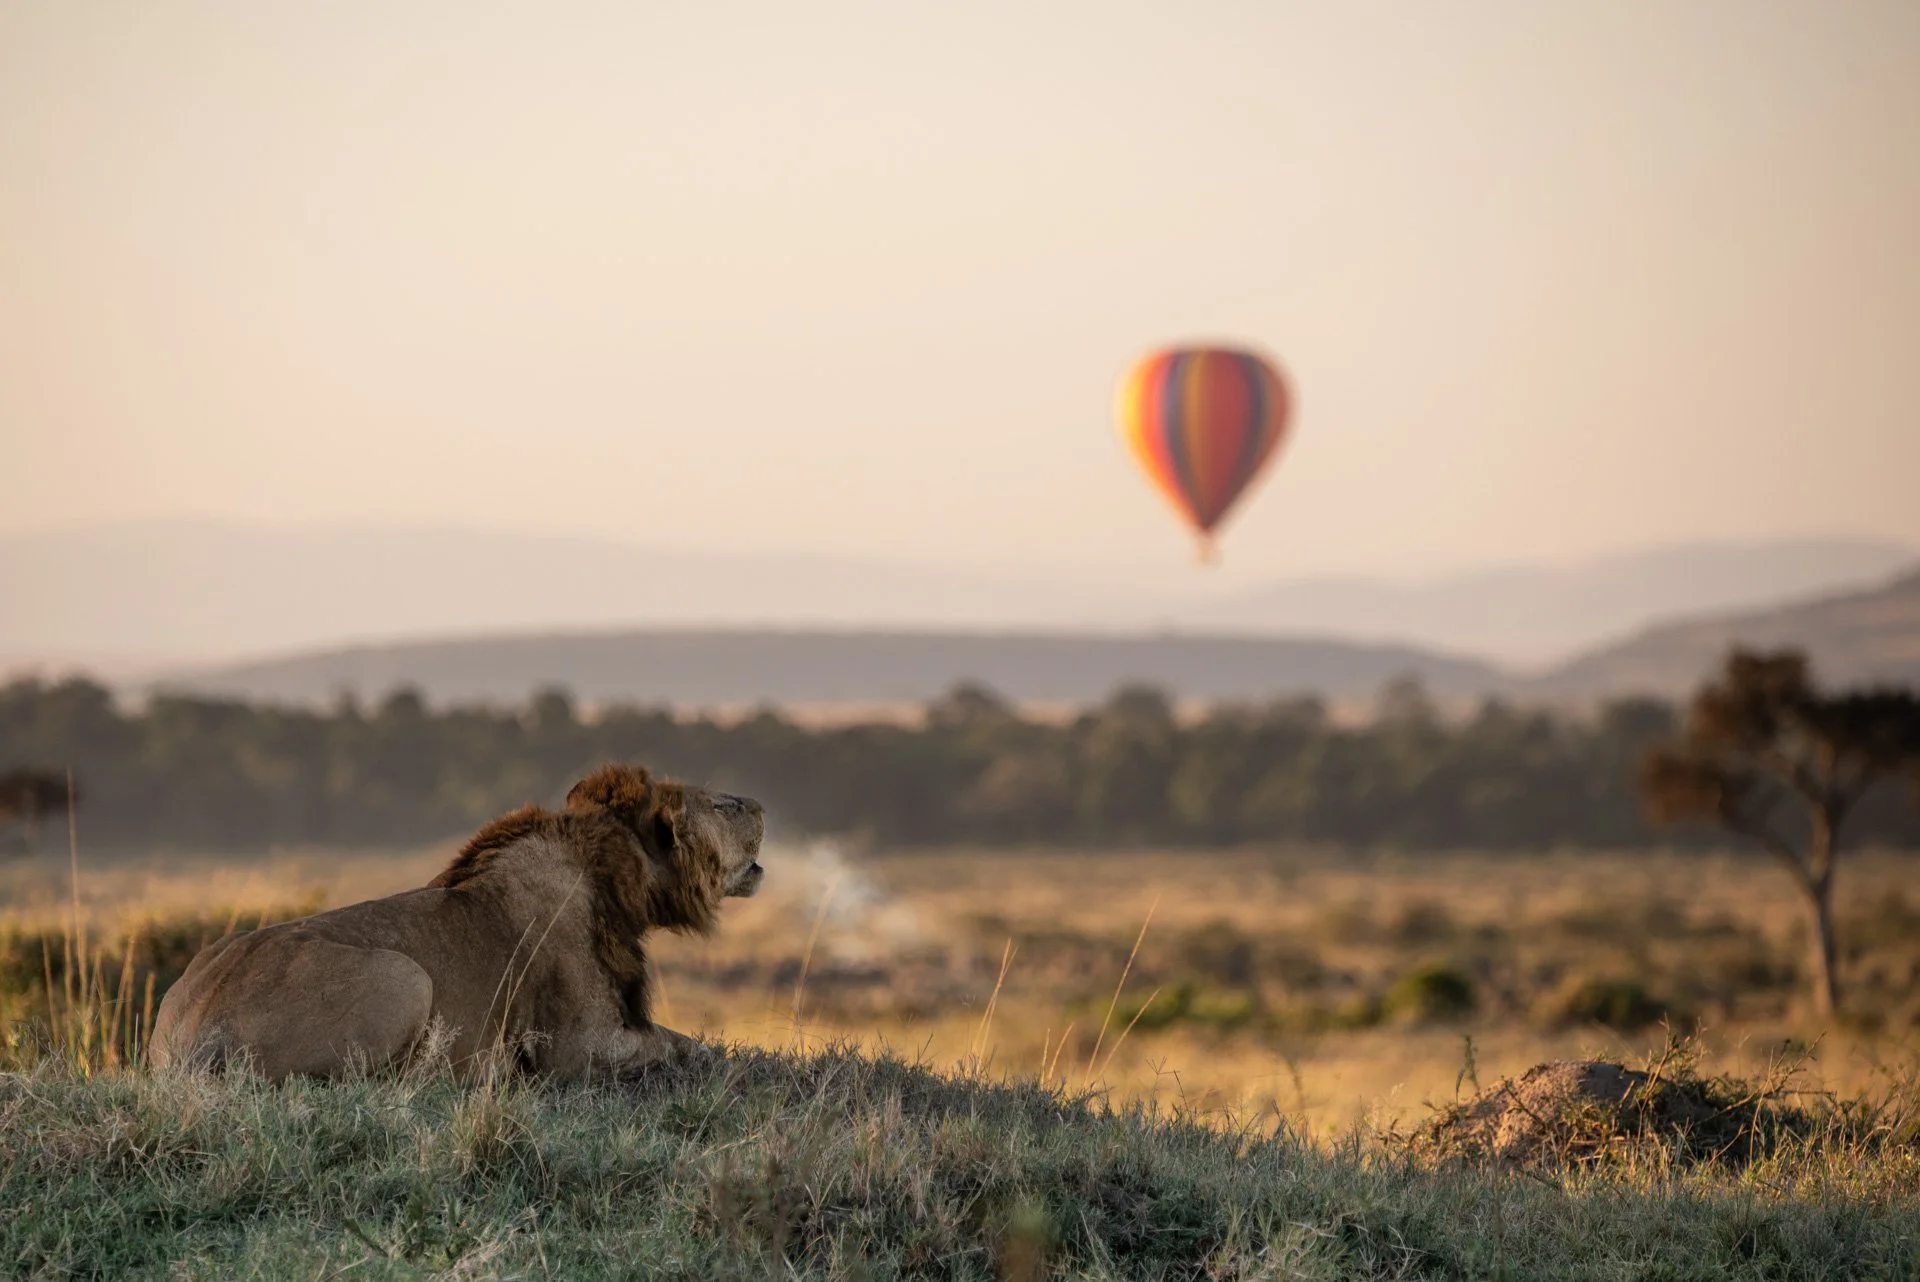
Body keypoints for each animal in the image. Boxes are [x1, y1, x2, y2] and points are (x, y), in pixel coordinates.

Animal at [148, 763, 765, 1083]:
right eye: (722, 806)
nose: (760, 805)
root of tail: (193, 1033)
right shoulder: (579, 1047)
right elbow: (686, 1046)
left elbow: (686, 1041)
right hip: (406, 977)